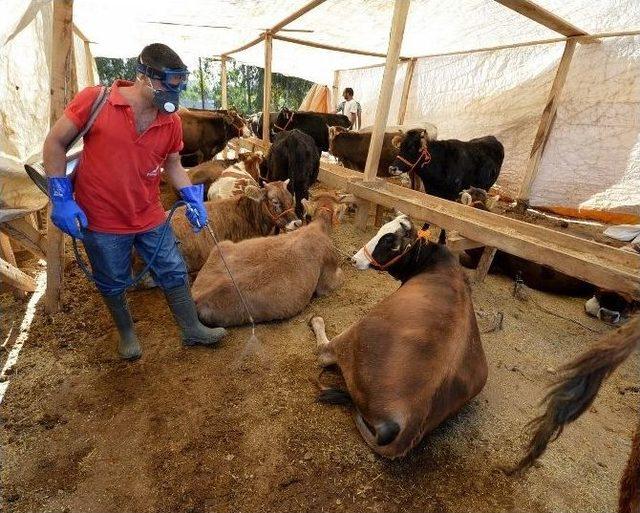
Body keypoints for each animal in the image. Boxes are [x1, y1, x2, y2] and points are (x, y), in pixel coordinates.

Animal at [308, 212, 488, 456]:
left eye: (389, 241)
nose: (354, 259)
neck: (433, 263)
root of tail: (411, 419)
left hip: (357, 333)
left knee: (323, 353)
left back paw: (317, 321)